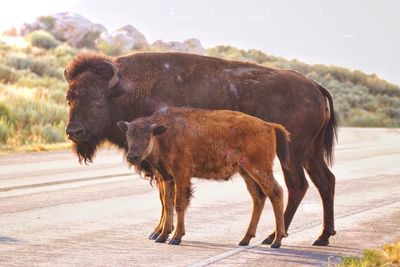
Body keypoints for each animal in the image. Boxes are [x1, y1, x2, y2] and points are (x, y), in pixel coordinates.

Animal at [117, 107, 290, 249]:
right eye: (128, 135)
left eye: (147, 136)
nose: (132, 157)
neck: (165, 135)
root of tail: (269, 126)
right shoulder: (168, 179)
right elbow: (167, 204)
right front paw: (162, 237)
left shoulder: (181, 175)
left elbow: (179, 204)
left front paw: (176, 238)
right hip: (246, 172)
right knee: (258, 197)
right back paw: (245, 239)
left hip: (259, 169)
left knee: (275, 192)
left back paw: (276, 241)